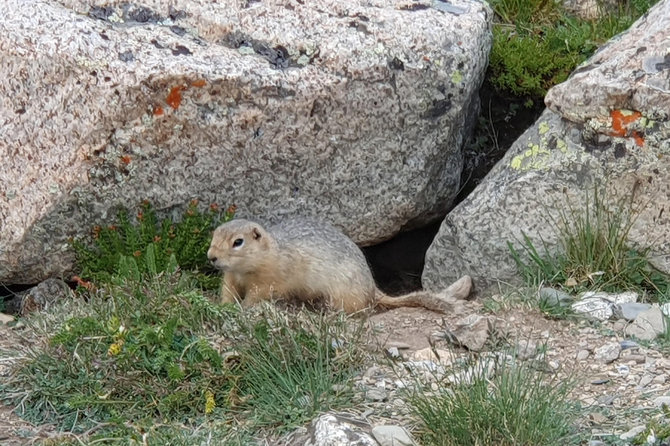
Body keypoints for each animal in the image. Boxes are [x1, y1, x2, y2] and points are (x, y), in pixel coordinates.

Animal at [207, 219, 476, 314]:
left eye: (238, 242)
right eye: (214, 234)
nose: (211, 257)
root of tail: (372, 287)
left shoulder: (268, 280)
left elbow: (257, 295)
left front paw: (243, 307)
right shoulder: (230, 278)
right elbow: (228, 293)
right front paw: (223, 306)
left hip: (343, 291)